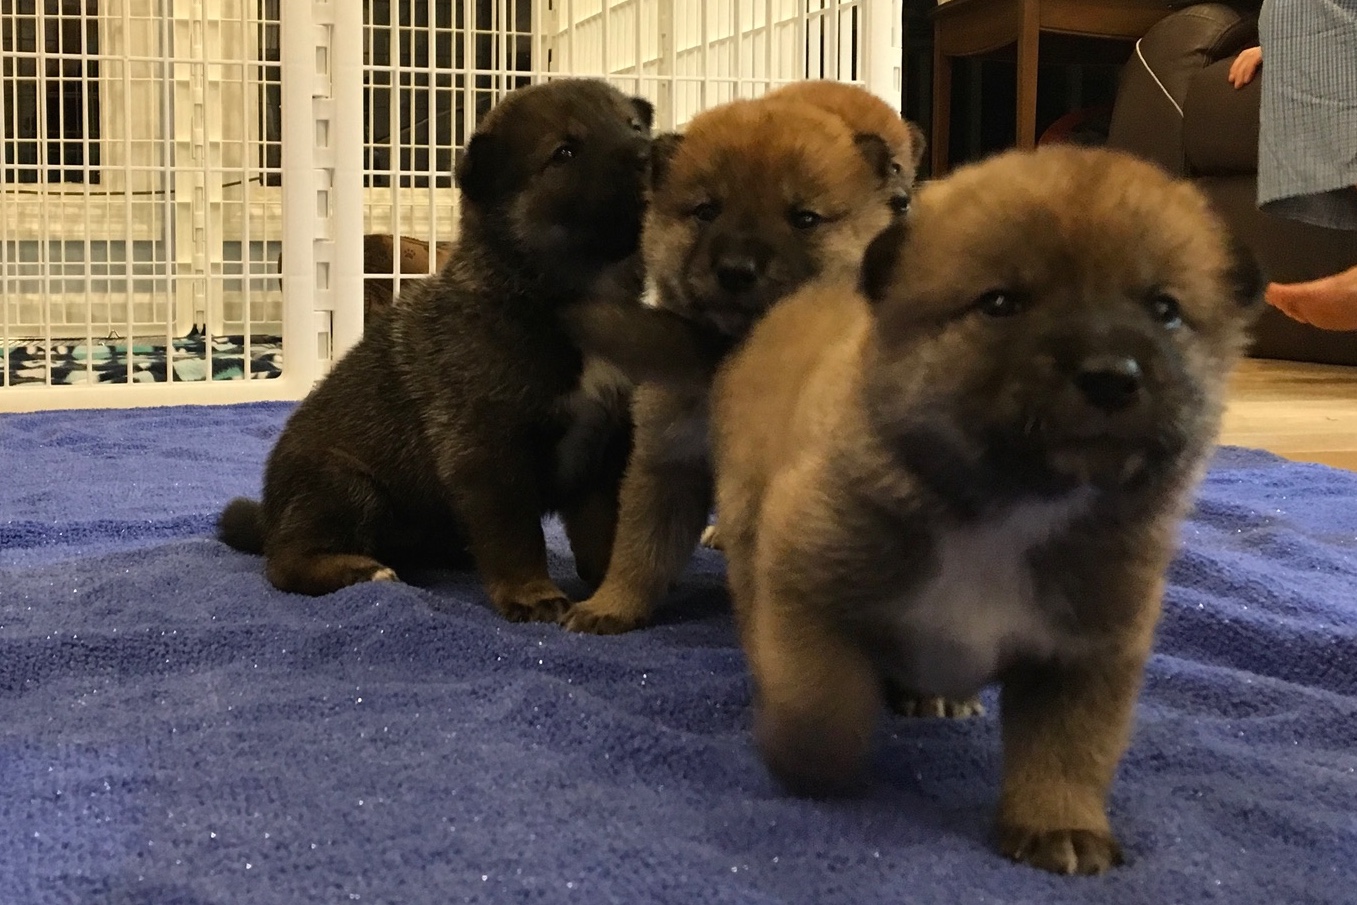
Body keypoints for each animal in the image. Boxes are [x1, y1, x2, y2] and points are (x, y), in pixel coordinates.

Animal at [561, 97, 901, 637]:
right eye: (707, 211)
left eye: (804, 218)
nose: (737, 270)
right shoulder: (666, 461)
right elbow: (639, 549)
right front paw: (611, 604)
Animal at [711, 145, 1259, 873]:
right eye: (1000, 303)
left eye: (1164, 309)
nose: (1111, 376)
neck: (1009, 512)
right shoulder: (807, 583)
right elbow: (818, 702)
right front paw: (806, 763)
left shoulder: (1086, 653)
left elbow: (1068, 751)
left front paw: (1059, 823)